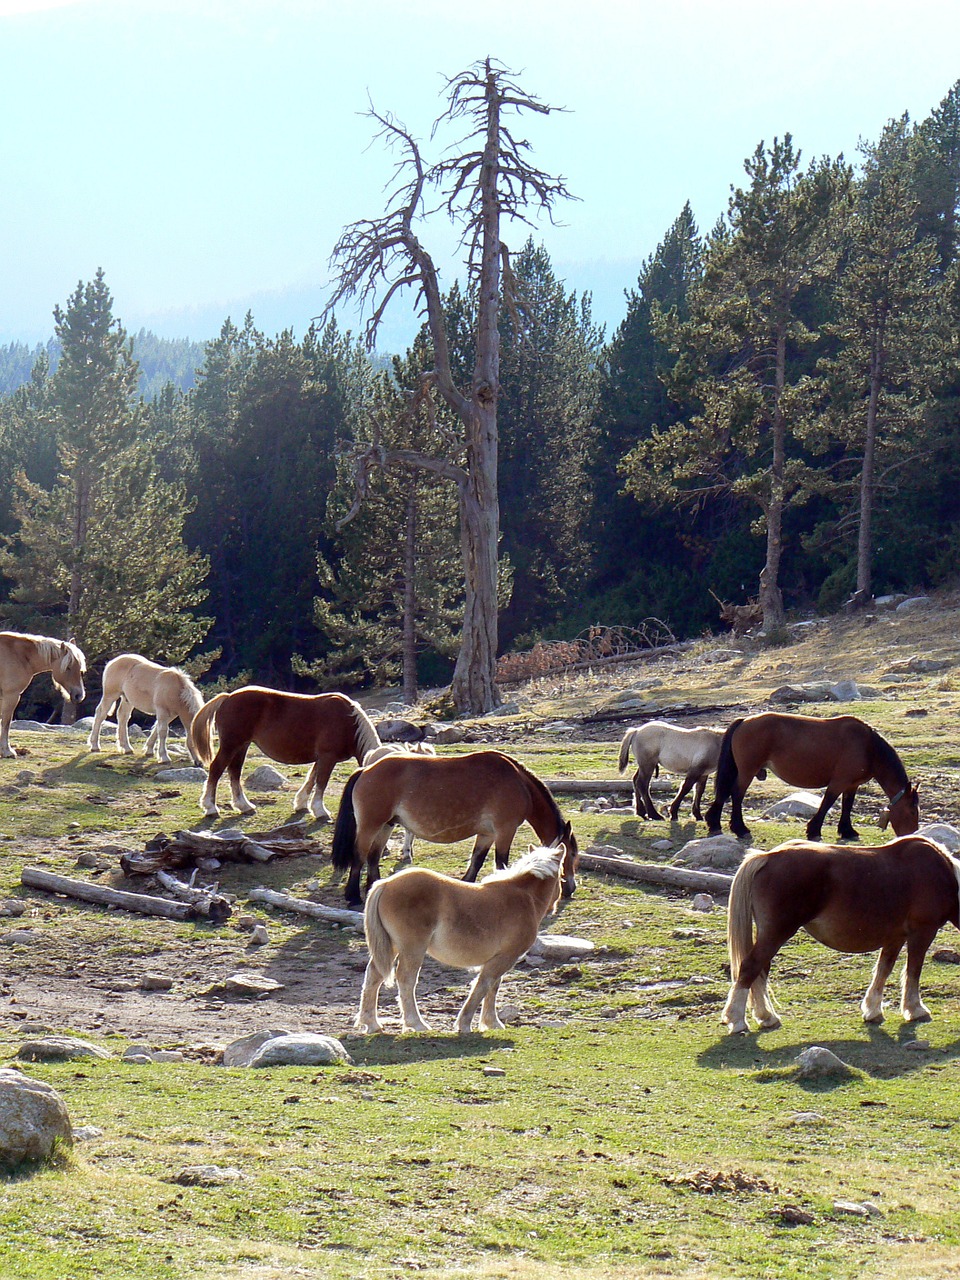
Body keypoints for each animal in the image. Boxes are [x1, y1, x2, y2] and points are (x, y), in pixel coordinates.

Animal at [185, 691, 381, 819]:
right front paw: (320, 811)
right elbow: (321, 783)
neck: (348, 721)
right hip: (231, 745)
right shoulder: (328, 757)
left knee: (234, 772)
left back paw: (244, 806)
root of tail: (227, 697)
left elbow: (311, 779)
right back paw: (211, 807)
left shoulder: (321, 759)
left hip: (241, 746)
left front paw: (301, 804)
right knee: (216, 769)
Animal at [330, 747, 578, 911]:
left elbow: (477, 860)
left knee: (373, 857)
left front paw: (466, 885)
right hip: (370, 826)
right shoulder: (504, 831)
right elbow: (501, 862)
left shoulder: (487, 834)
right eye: (572, 855)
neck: (519, 783)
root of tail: (366, 770)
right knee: (360, 856)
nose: (571, 888)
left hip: (385, 826)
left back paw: (373, 886)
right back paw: (353, 896)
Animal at [358, 844, 570, 1034]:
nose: (555, 905)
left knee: (374, 976)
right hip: (412, 950)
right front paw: (465, 1024)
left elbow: (493, 987)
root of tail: (385, 884)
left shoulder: (498, 958)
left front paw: (491, 1023)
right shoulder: (504, 958)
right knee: (406, 979)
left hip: (392, 947)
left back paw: (372, 1024)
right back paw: (416, 1023)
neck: (524, 898)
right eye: (562, 875)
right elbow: (483, 985)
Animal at [701, 716, 921, 844]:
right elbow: (827, 803)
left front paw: (847, 831)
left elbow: (847, 806)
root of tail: (745, 721)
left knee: (725, 793)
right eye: (912, 811)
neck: (868, 747)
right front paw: (814, 830)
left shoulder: (852, 785)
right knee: (736, 794)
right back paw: (740, 828)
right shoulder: (839, 782)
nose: (911, 834)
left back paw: (714, 822)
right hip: (747, 771)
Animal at [721, 834, 960, 1034]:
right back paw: (738, 1020)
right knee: (750, 968)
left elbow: (884, 969)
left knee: (760, 971)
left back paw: (766, 1017)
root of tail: (767, 857)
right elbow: (913, 971)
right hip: (775, 934)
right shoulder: (922, 933)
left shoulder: (895, 937)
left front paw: (872, 1010)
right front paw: (916, 1010)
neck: (945, 875)